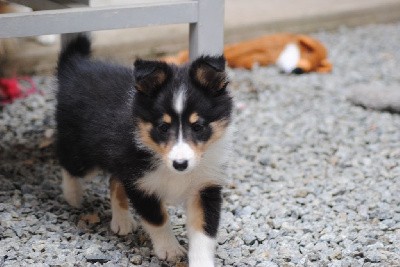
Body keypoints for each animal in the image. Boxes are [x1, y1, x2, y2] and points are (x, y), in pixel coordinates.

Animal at [54, 34, 233, 266]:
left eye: (198, 126)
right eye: (163, 127)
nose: (180, 164)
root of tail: (75, 66)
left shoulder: (204, 186)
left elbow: (204, 233)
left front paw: (201, 261)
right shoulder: (141, 184)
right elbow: (158, 219)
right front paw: (170, 250)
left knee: (114, 180)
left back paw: (122, 221)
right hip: (83, 152)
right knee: (67, 161)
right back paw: (73, 196)